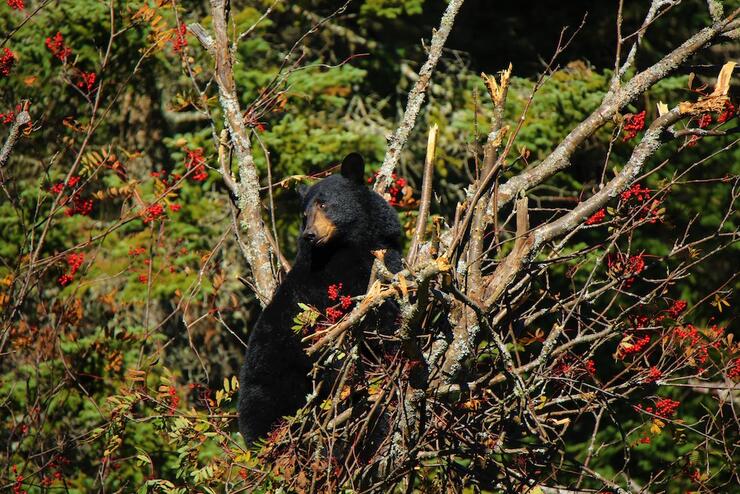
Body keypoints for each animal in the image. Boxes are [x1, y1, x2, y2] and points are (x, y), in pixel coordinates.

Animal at [238, 152, 403, 444]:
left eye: (324, 204)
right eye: (305, 214)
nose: (309, 234)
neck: (348, 245)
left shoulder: (383, 254)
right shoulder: (337, 281)